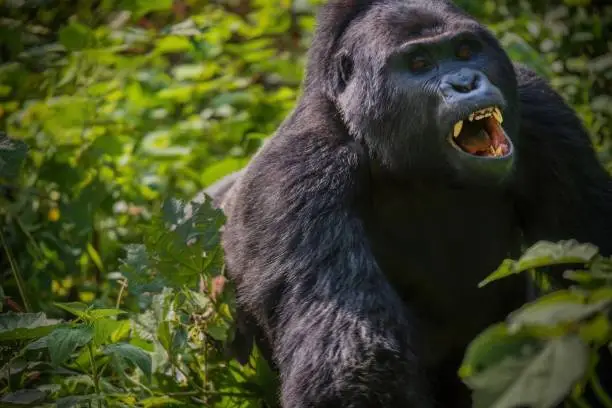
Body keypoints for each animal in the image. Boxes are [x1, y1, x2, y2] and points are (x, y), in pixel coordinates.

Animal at [202, 0, 612, 408]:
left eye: (466, 51)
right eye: (418, 63)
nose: (466, 83)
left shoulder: (542, 110)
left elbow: (593, 263)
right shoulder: (296, 175)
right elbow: (353, 366)